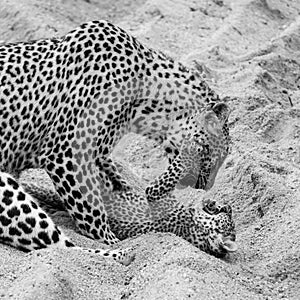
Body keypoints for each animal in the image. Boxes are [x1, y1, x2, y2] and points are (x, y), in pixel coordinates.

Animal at [0, 20, 230, 260]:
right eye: (212, 157)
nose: (203, 190)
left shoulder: (97, 153)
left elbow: (113, 180)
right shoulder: (66, 154)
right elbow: (91, 213)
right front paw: (113, 237)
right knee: (61, 245)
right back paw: (125, 253)